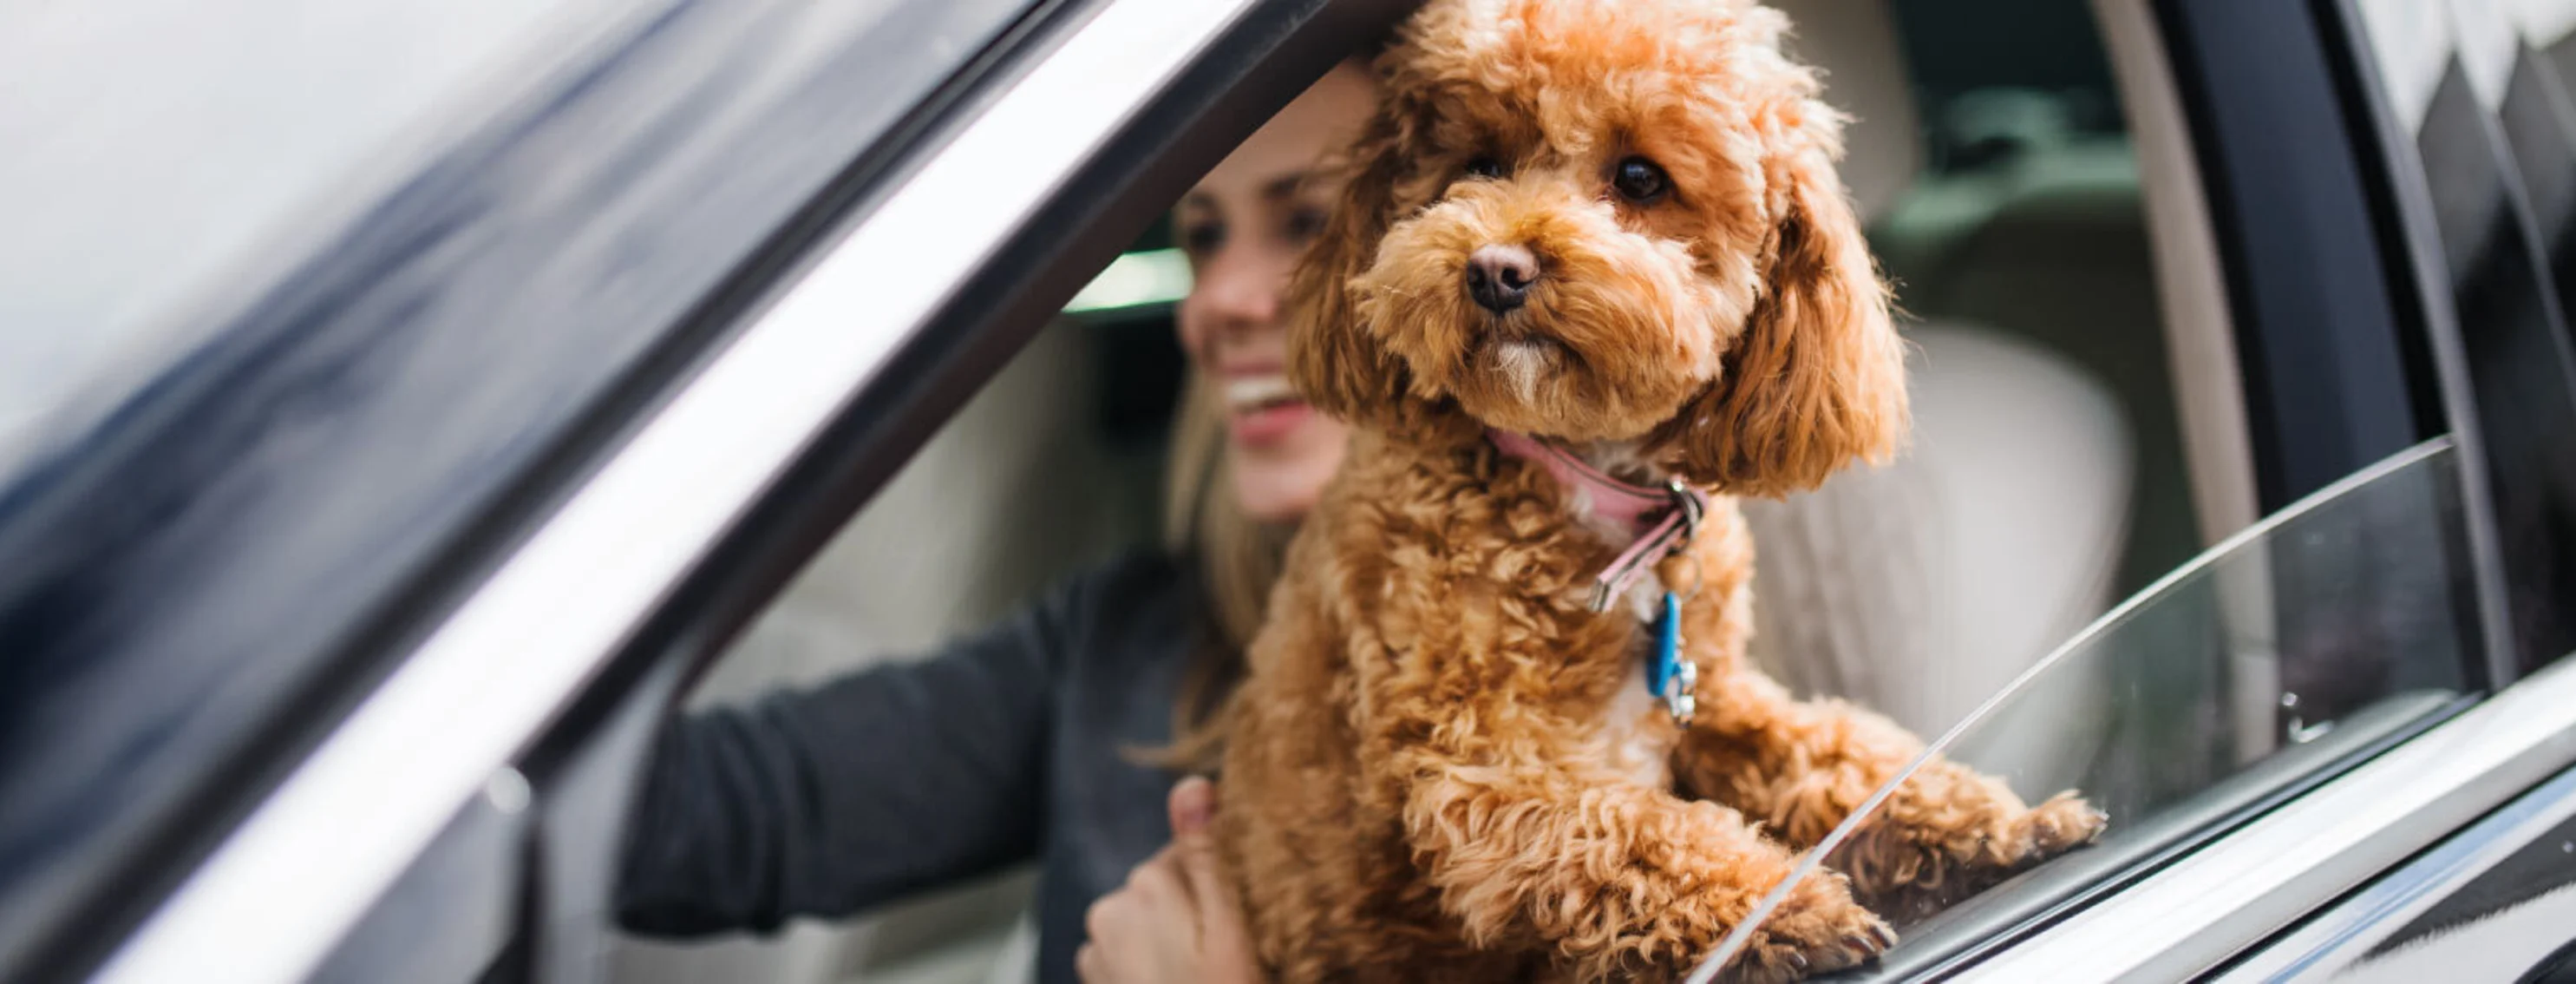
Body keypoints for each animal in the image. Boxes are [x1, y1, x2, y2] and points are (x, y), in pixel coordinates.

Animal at [1215, 2, 2102, 984]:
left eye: (1640, 177)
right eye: (1479, 162)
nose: (1495, 269)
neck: (1600, 498)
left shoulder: (1716, 703)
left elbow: (1846, 761)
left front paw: (1995, 823)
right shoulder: (1484, 766)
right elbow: (1633, 832)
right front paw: (1785, 914)